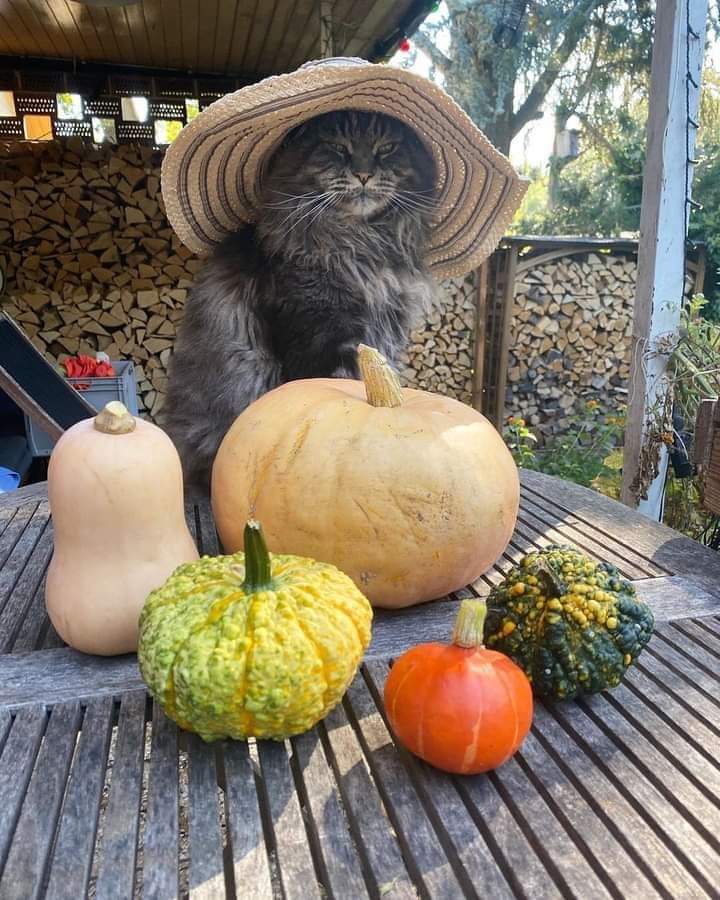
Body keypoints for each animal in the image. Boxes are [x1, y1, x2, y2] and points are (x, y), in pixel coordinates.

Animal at [160, 110, 436, 488]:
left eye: (387, 149)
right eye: (337, 148)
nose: (364, 174)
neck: (362, 244)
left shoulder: (386, 333)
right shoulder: (315, 332)